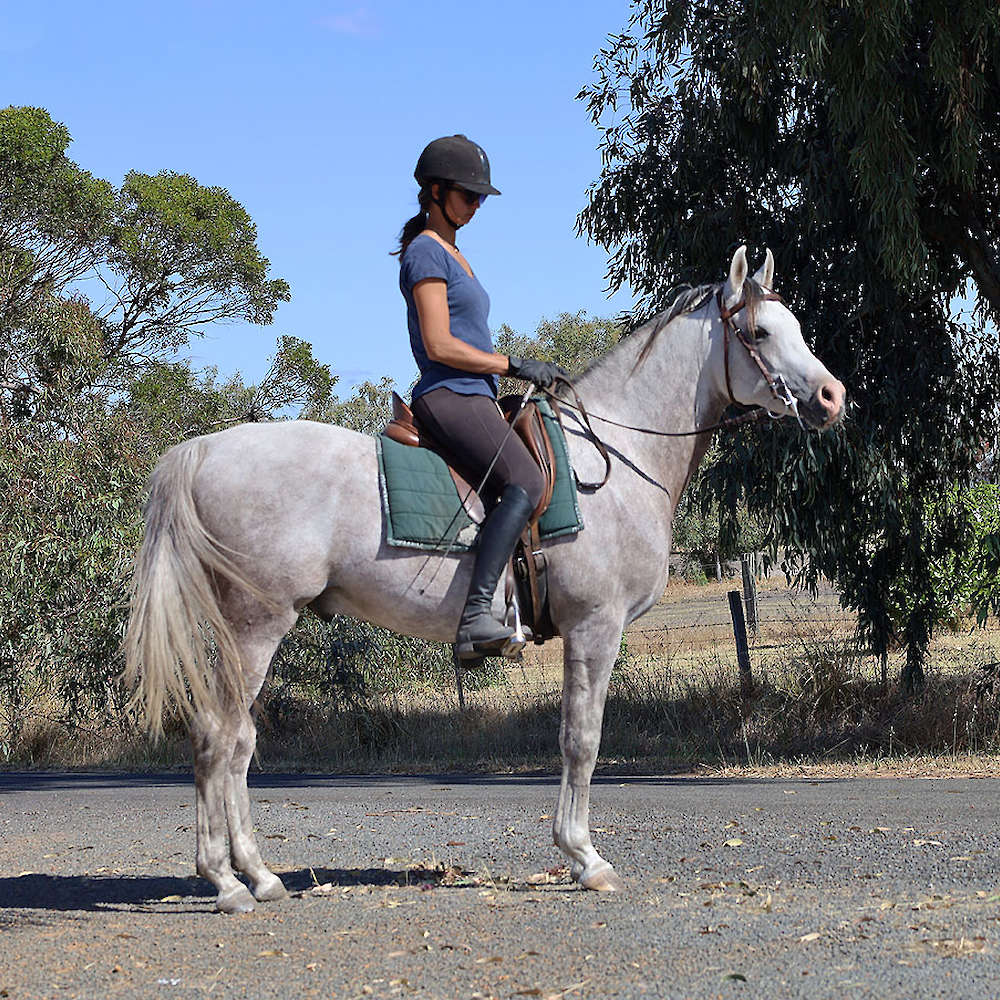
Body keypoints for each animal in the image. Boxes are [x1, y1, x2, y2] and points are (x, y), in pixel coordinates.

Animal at [125, 246, 845, 913]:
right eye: (759, 332)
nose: (832, 398)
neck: (613, 458)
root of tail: (204, 449)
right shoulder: (595, 627)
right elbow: (581, 740)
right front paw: (585, 858)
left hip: (246, 629)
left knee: (236, 739)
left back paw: (258, 875)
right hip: (256, 624)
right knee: (221, 736)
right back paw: (227, 882)